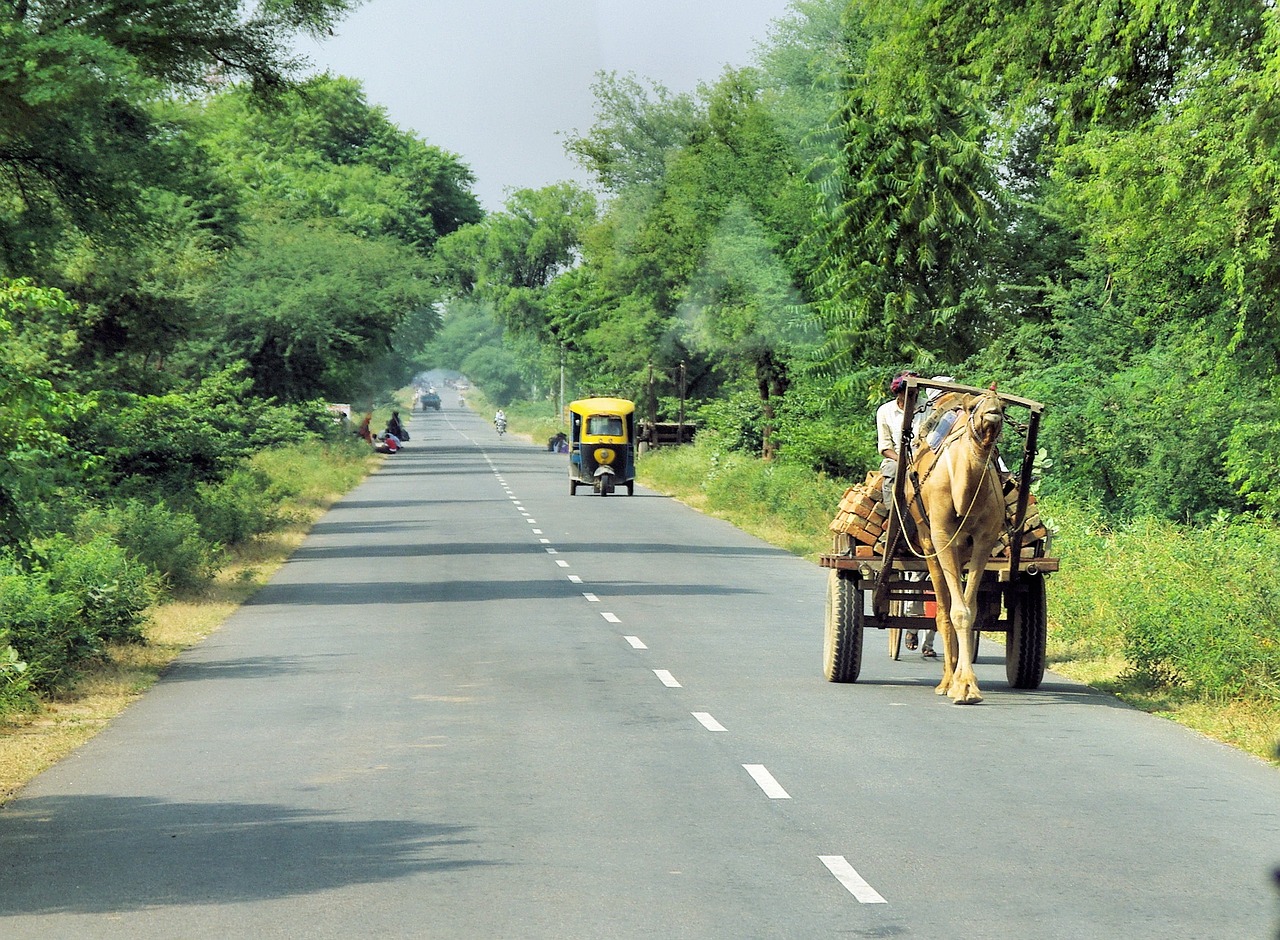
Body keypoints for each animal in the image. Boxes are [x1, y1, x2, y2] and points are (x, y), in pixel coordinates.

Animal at [906, 389, 1003, 706]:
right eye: (973, 406)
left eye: (1003, 404)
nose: (992, 411)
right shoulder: (941, 534)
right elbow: (955, 611)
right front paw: (962, 687)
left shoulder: (985, 539)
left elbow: (969, 610)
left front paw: (968, 685)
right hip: (927, 539)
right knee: (941, 608)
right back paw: (945, 681)